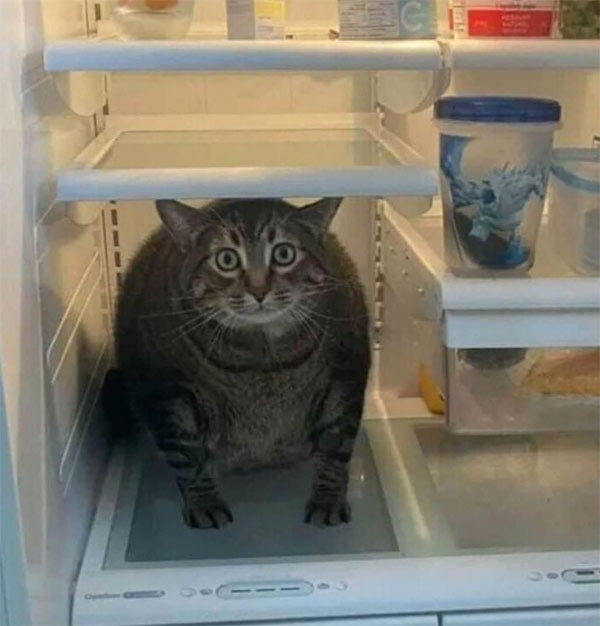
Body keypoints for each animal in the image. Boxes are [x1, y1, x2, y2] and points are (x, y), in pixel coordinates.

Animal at [109, 197, 370, 528]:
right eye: (227, 259)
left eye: (284, 253)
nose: (258, 290)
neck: (261, 357)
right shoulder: (165, 392)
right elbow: (187, 455)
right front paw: (204, 504)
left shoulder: (344, 376)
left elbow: (336, 447)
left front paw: (328, 501)